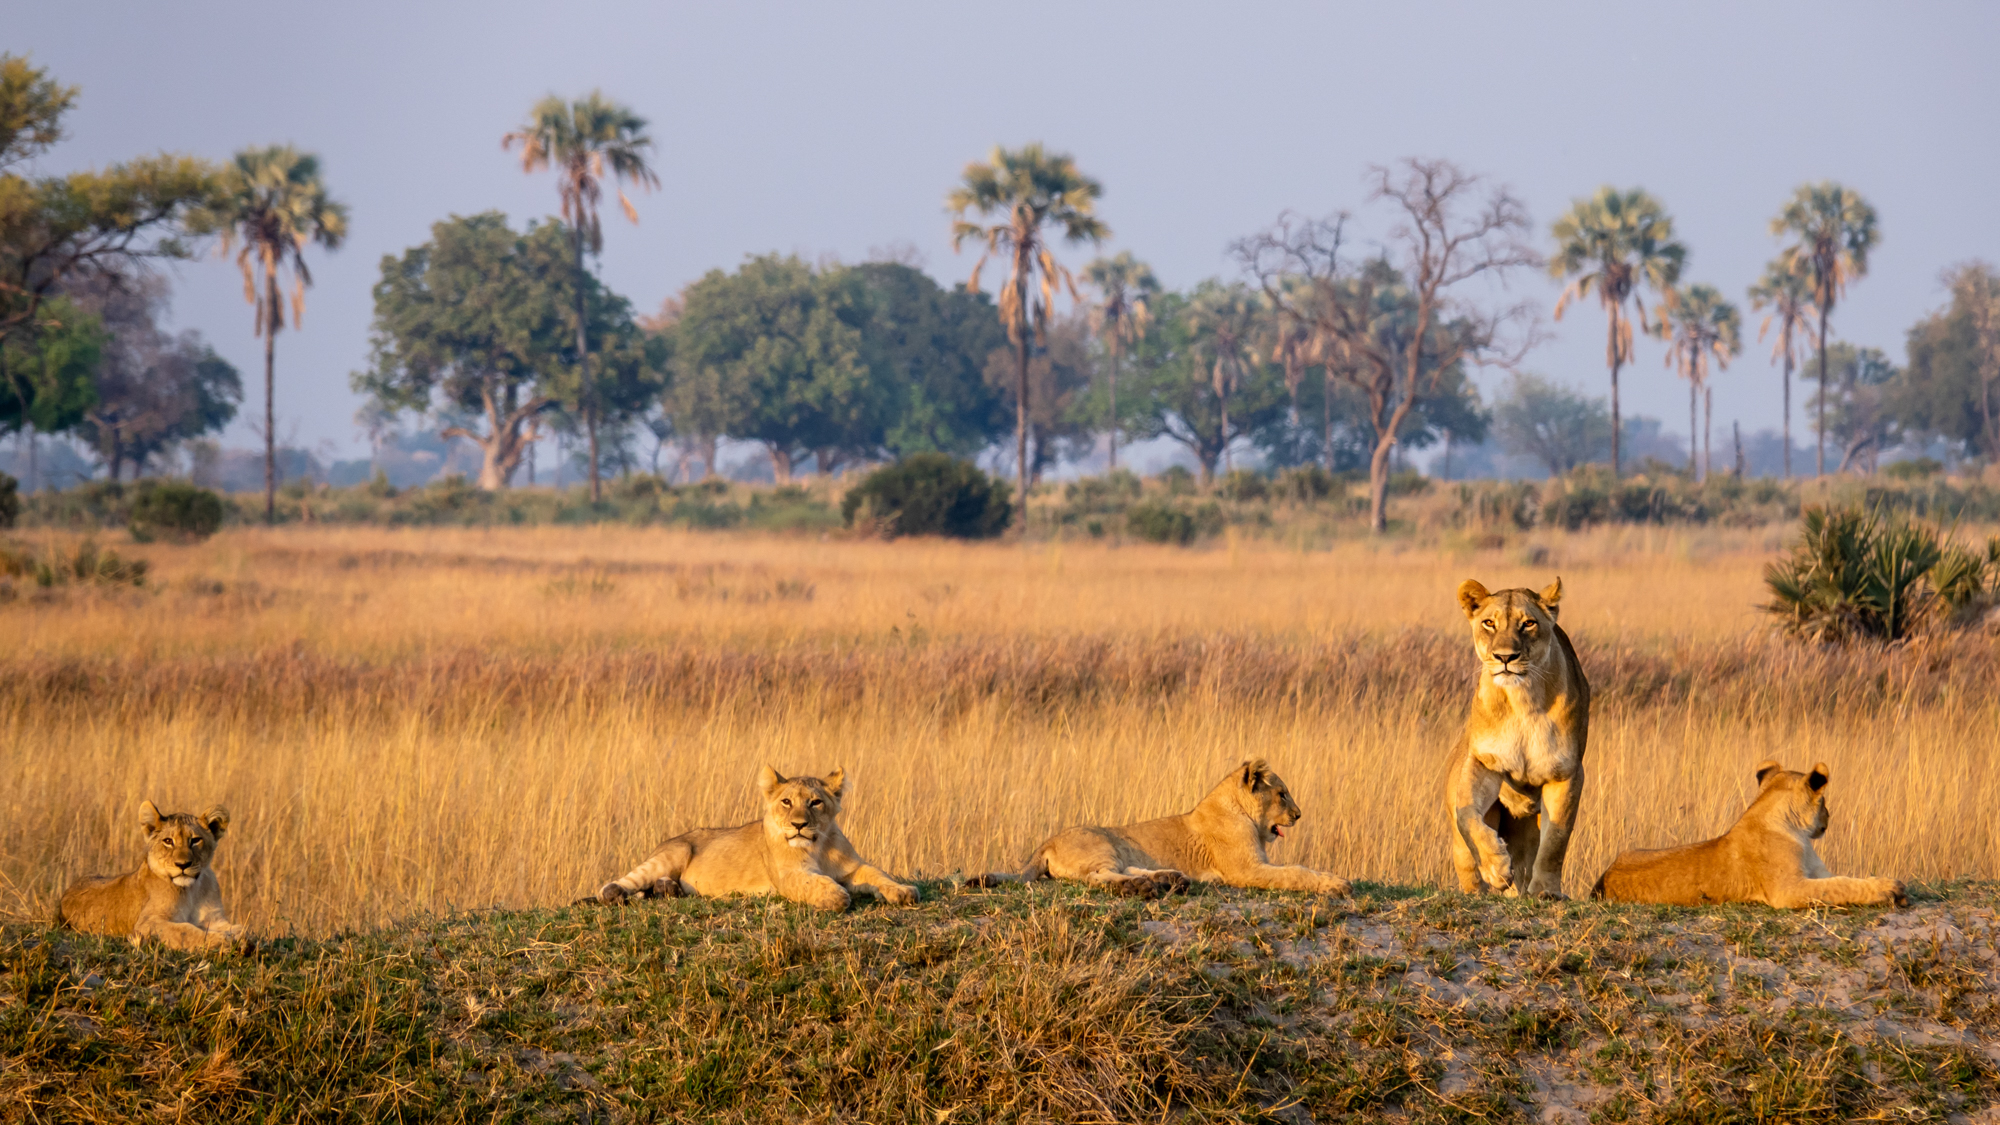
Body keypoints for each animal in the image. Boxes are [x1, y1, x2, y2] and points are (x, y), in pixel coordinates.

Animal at [58, 801, 247, 952]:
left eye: (195, 840)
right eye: (168, 841)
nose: (183, 865)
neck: (192, 890)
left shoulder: (213, 918)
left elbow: (237, 927)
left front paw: (240, 937)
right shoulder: (146, 924)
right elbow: (184, 930)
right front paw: (222, 941)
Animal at [598, 766, 918, 912]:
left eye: (815, 802)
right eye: (787, 802)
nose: (799, 825)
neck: (819, 846)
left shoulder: (854, 868)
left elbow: (879, 874)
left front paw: (903, 891)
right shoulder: (788, 876)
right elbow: (816, 884)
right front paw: (836, 895)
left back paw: (668, 890)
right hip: (673, 853)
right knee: (621, 883)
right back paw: (617, 892)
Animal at [968, 759, 1351, 897]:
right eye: (1283, 793)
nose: (1299, 814)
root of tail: (1045, 843)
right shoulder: (1248, 870)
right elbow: (1295, 872)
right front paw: (1336, 884)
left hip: (1119, 851)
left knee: (1126, 869)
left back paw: (1169, 879)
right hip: (1103, 845)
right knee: (1098, 877)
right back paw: (1142, 887)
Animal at [1446, 577, 1591, 899]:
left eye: (1528, 623)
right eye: (1489, 623)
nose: (1504, 657)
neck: (1521, 701)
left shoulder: (1566, 773)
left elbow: (1556, 839)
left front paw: (1546, 891)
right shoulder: (1484, 762)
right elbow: (1467, 815)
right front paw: (1496, 867)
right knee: (1466, 860)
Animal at [1591, 760, 1908, 908]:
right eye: (1825, 802)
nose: (1828, 818)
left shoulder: (1817, 874)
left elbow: (1845, 880)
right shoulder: (1787, 890)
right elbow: (1838, 887)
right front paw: (1889, 889)